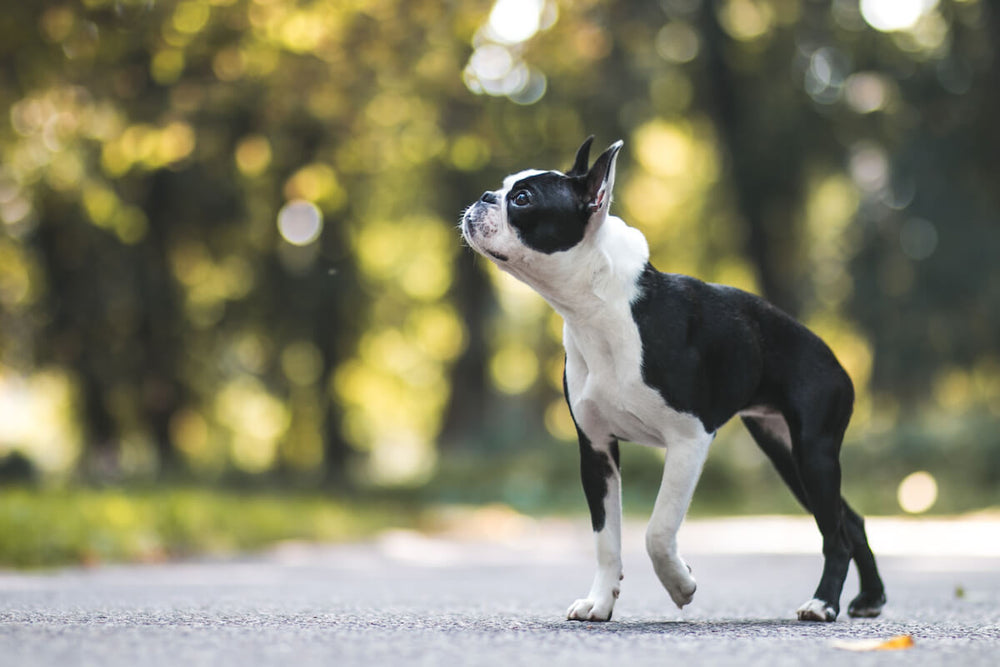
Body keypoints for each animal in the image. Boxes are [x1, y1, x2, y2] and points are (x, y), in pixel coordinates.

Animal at [458, 138, 888, 624]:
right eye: (504, 188)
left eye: (523, 199)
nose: (483, 197)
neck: (597, 310)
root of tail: (829, 352)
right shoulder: (596, 450)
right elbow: (606, 539)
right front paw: (600, 601)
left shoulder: (688, 439)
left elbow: (657, 531)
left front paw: (680, 585)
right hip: (788, 455)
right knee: (849, 521)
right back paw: (869, 597)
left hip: (813, 452)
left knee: (835, 533)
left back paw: (823, 602)